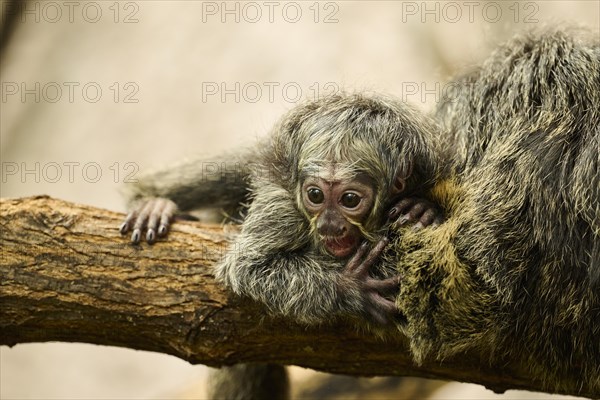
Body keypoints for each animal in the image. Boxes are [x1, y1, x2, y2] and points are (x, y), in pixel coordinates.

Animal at [120, 94, 440, 324]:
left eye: (349, 200)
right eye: (315, 195)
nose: (329, 225)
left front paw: (421, 209)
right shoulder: (281, 208)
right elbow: (247, 267)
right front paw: (349, 287)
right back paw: (152, 203)